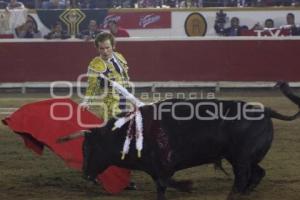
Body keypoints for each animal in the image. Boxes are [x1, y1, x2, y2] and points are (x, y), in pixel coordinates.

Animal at [58, 82, 300, 199]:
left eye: (90, 148)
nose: (85, 174)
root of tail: (266, 110)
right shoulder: (155, 168)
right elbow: (161, 186)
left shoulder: (163, 166)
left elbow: (166, 182)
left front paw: (188, 186)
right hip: (243, 158)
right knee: (257, 173)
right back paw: (244, 194)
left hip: (240, 158)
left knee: (243, 177)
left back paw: (233, 195)